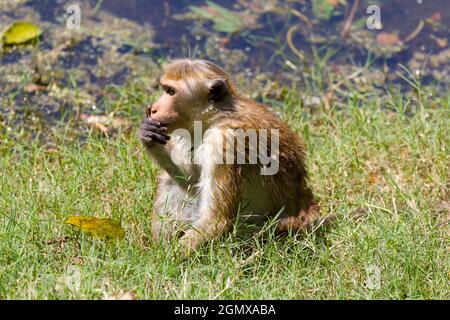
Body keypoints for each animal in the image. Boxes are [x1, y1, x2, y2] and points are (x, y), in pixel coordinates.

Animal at [139, 58, 326, 252]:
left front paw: (164, 257)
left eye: (170, 91)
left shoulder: (225, 143)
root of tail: (303, 202)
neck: (217, 117)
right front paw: (148, 133)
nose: (154, 109)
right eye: (164, 88)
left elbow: (216, 220)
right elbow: (192, 179)